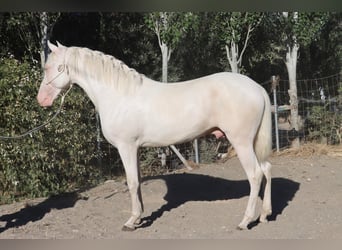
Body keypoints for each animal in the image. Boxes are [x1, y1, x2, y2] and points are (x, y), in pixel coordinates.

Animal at [37, 41, 272, 230]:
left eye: (48, 67)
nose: (41, 100)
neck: (118, 94)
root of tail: (257, 88)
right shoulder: (135, 148)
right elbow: (138, 182)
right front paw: (139, 218)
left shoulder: (126, 147)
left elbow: (131, 182)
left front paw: (131, 222)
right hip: (252, 142)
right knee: (267, 170)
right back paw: (264, 215)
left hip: (241, 142)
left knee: (255, 175)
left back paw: (245, 221)